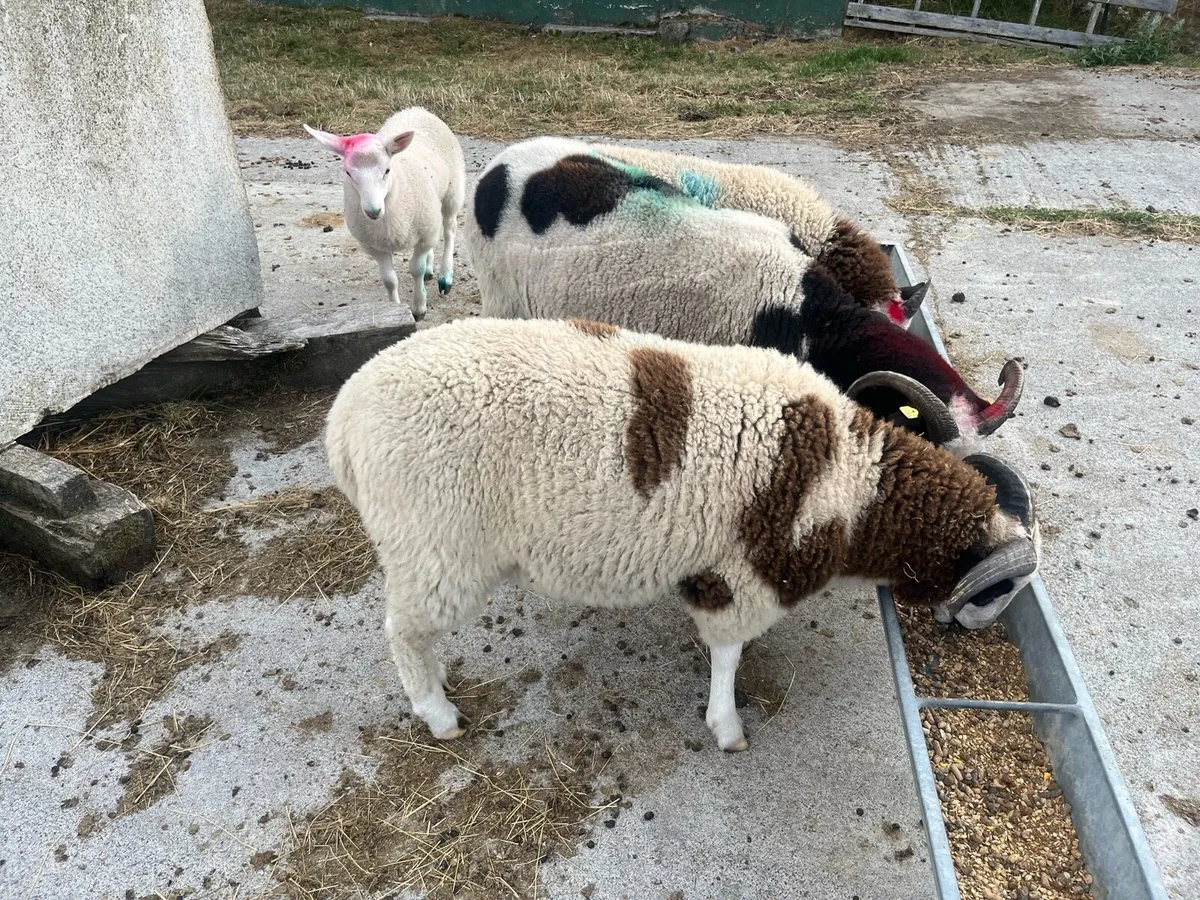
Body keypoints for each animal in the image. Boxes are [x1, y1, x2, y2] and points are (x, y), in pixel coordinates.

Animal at [304, 107, 466, 320]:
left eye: (387, 170)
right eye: (348, 173)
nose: (373, 211)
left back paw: (445, 276)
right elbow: (389, 280)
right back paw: (431, 269)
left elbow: (416, 269)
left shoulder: (424, 236)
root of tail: (416, 109)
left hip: (452, 191)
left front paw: (419, 308)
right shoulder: (375, 247)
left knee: (449, 230)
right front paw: (396, 310)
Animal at [325, 316, 1041, 752]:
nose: (971, 630)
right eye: (994, 589)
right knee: (405, 633)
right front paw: (727, 728)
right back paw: (439, 714)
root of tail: (344, 418)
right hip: (436, 549)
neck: (852, 480)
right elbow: (727, 655)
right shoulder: (746, 575)